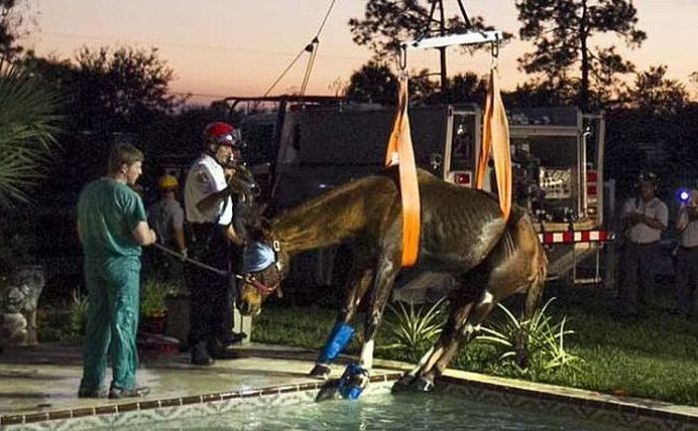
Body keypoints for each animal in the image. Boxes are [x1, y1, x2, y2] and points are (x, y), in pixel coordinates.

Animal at [237, 167, 548, 390]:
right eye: (244, 254)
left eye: (261, 262)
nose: (243, 304)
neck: (370, 205)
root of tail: (537, 246)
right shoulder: (361, 265)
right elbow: (345, 311)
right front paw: (322, 364)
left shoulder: (387, 265)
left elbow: (373, 316)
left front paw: (361, 372)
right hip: (468, 287)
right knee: (450, 329)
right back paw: (415, 374)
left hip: (490, 291)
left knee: (466, 331)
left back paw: (430, 376)